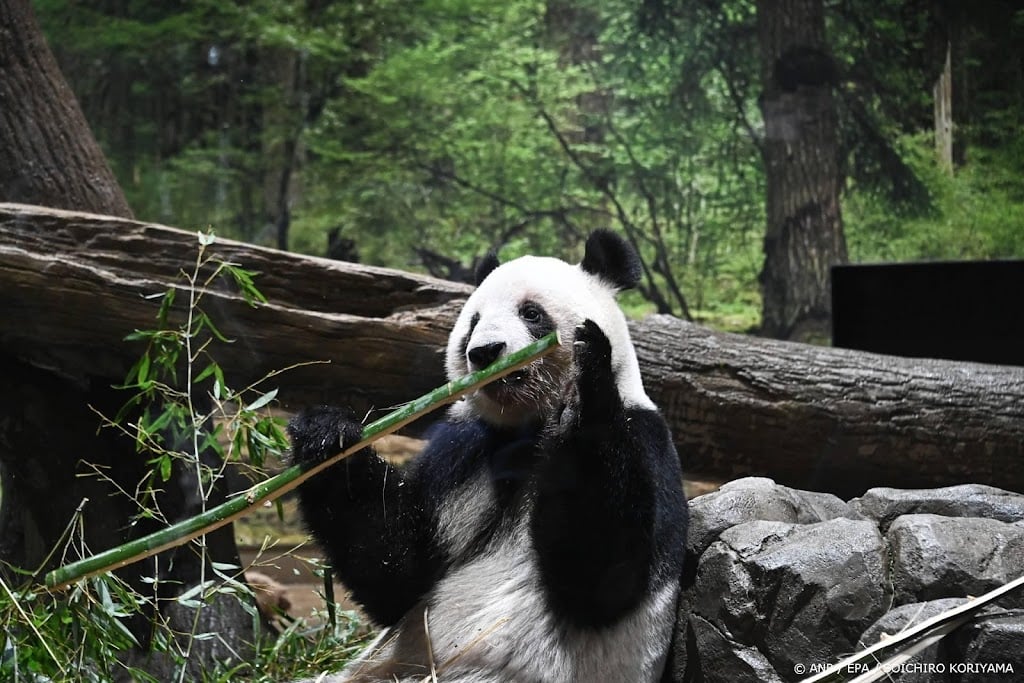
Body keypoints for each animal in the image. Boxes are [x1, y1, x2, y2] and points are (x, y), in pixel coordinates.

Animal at [288, 230, 688, 682]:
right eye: (473, 322)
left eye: (531, 313)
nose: (484, 352)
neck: (527, 427)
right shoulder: (466, 452)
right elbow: (399, 572)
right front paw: (327, 436)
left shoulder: (646, 440)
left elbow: (605, 579)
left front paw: (587, 386)